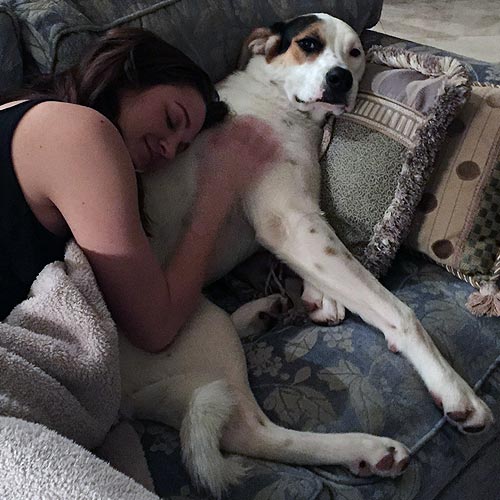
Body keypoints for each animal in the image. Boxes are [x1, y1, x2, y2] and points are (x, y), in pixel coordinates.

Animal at [119, 13, 494, 498]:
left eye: (355, 52)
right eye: (309, 44)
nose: (340, 79)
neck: (281, 104)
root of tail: (121, 403)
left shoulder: (303, 217)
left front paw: (320, 296)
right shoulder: (290, 221)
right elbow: (399, 312)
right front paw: (454, 390)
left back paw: (262, 312)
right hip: (200, 331)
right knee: (253, 433)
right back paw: (367, 449)